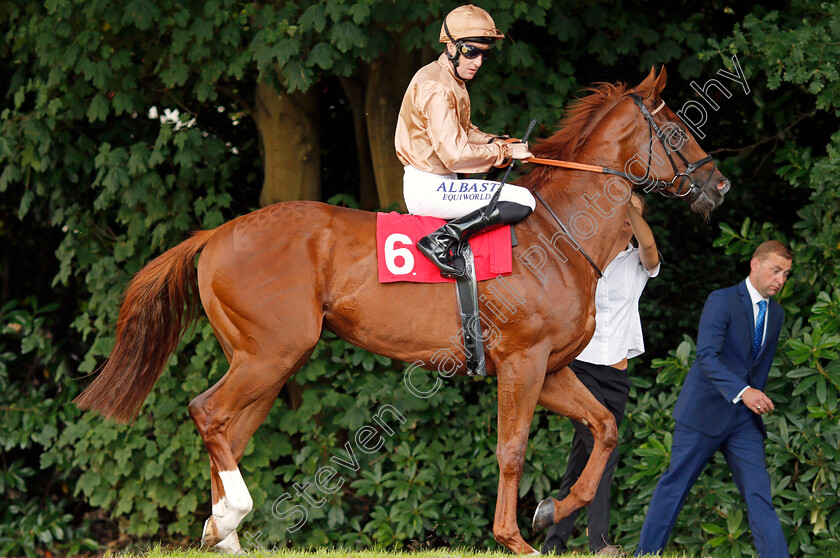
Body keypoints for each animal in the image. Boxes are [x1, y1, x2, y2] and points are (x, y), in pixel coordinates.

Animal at [74, 69, 728, 556]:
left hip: (266, 361)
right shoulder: (523, 362)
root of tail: (218, 232)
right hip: (271, 354)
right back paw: (232, 516)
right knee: (207, 412)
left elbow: (605, 426)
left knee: (228, 429)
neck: (563, 235)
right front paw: (514, 537)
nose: (719, 186)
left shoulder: (553, 367)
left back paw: (225, 533)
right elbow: (512, 449)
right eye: (676, 130)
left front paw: (550, 511)